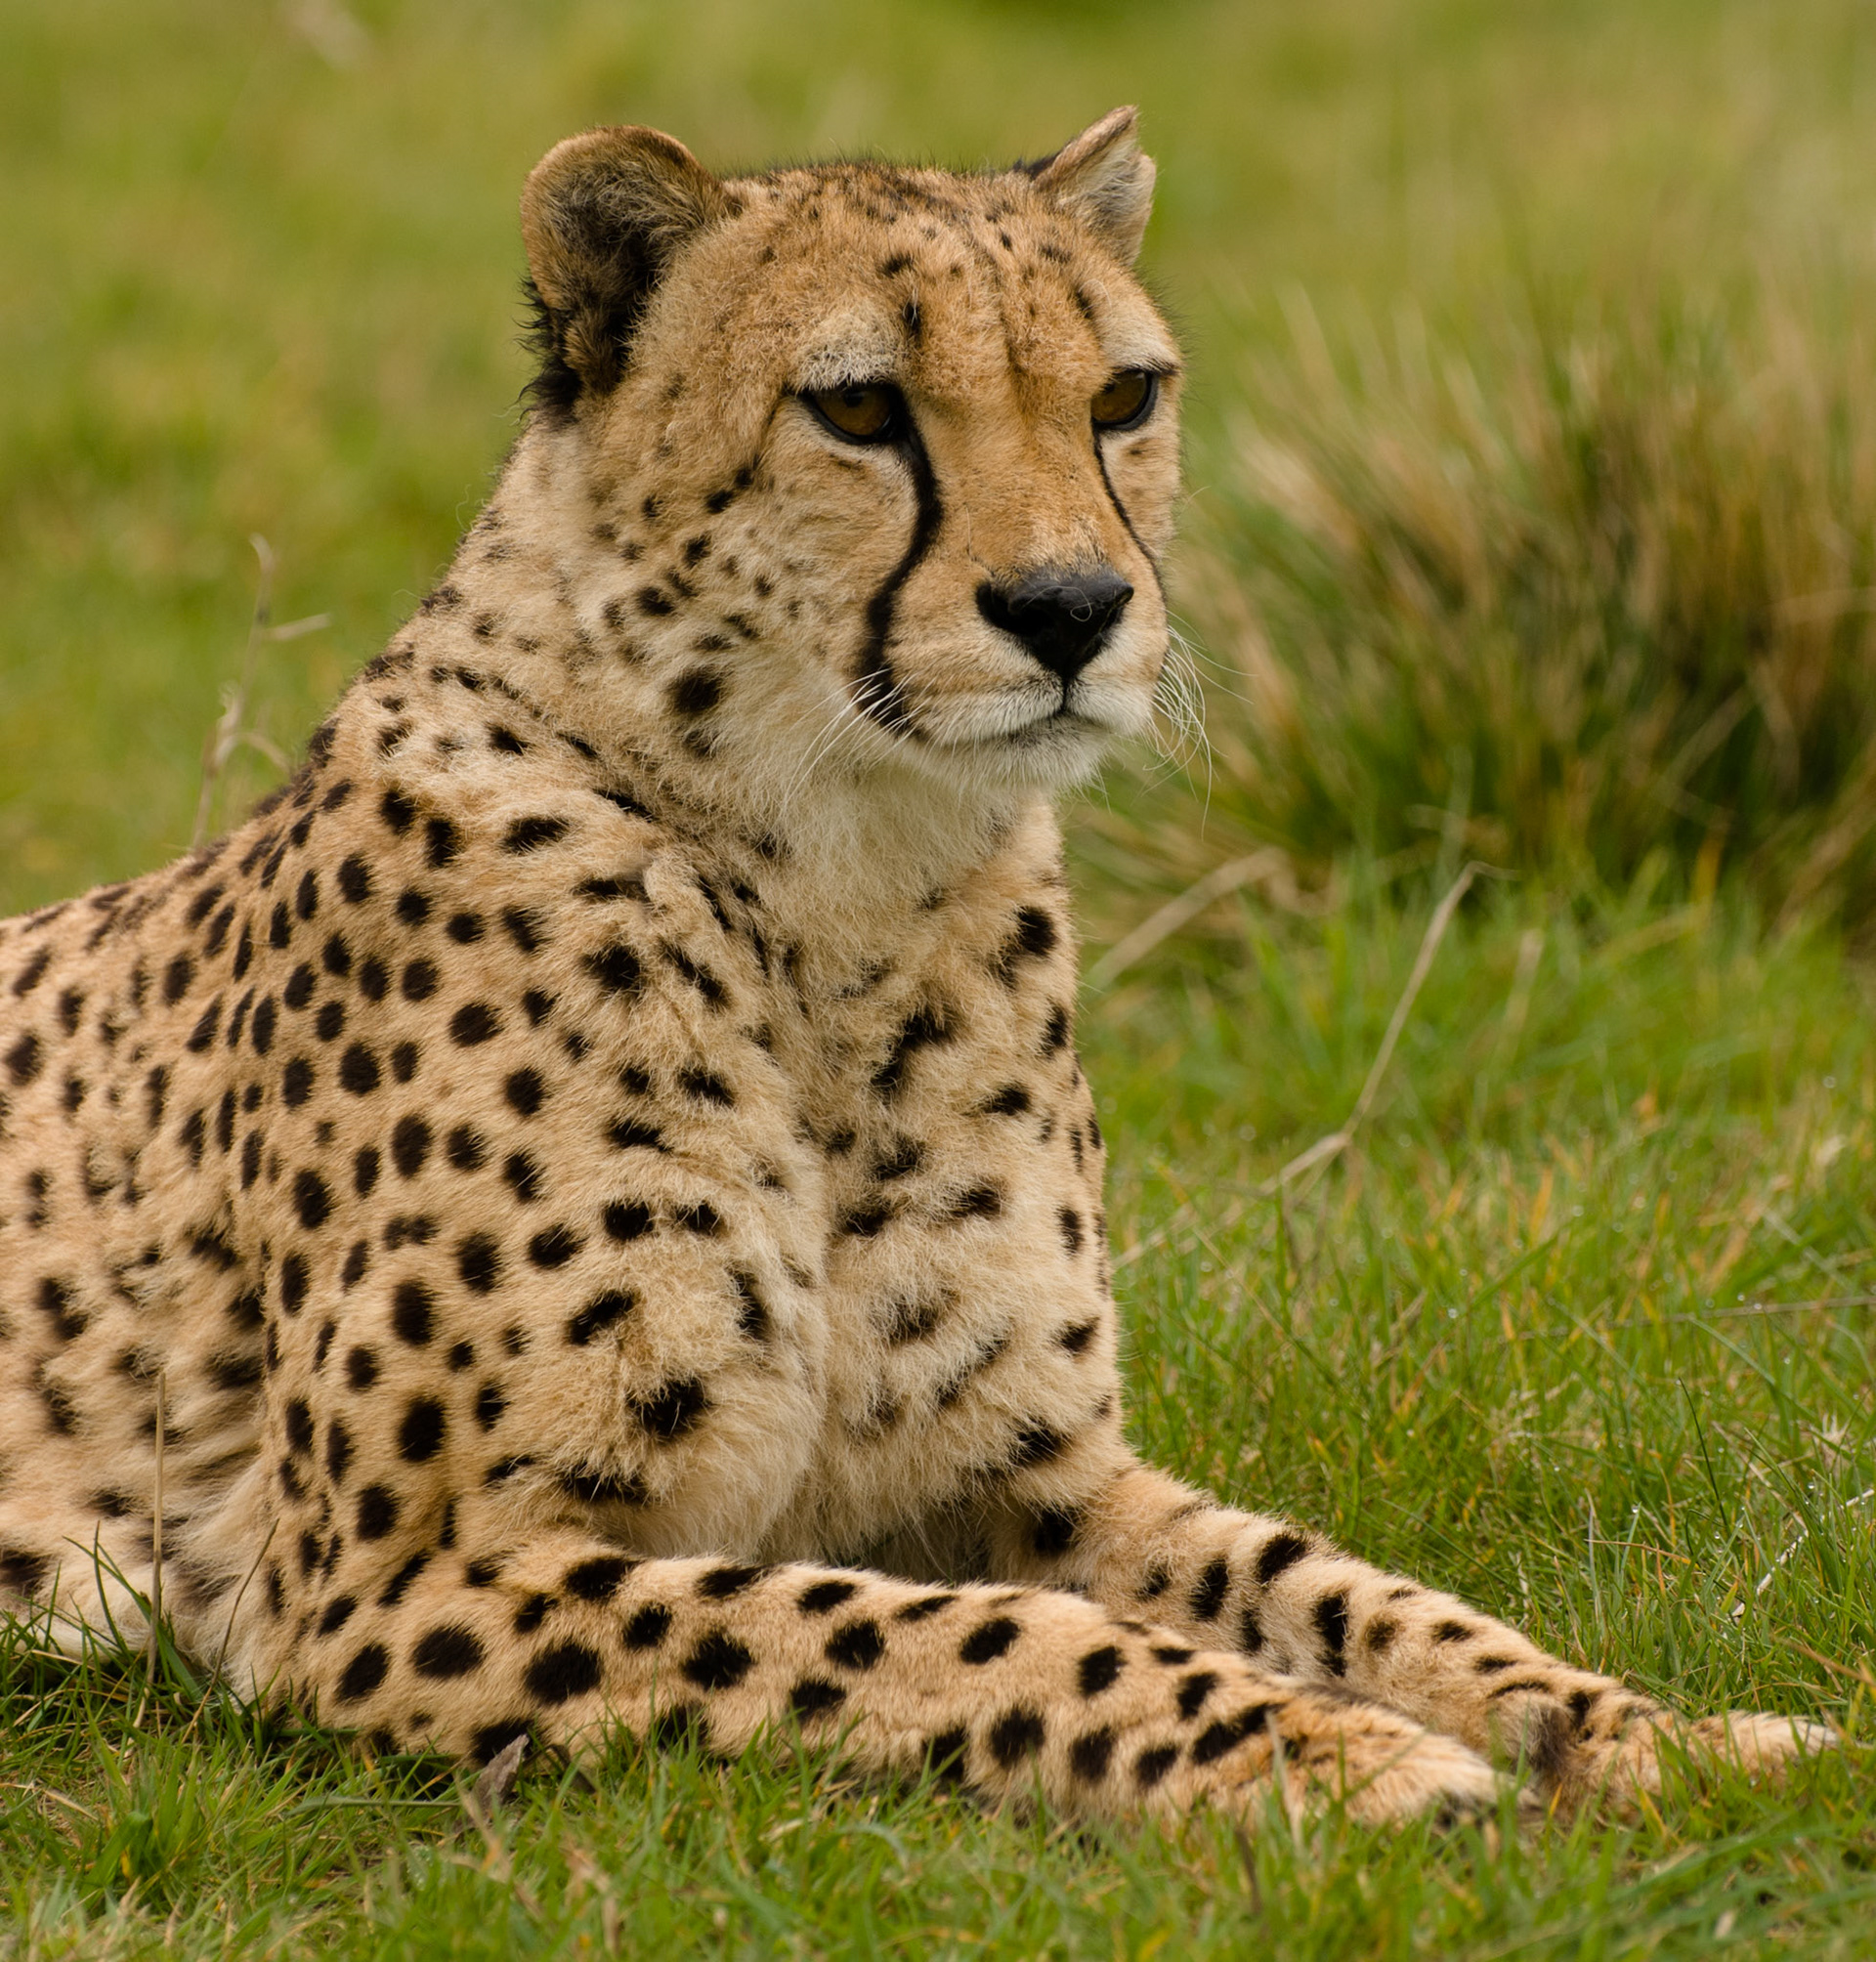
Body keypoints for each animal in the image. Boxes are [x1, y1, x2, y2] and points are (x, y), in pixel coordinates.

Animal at [0, 108, 1832, 1832]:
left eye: (1122, 396)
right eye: (862, 410)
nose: (1073, 607)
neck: (838, 883)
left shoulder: (1031, 1471)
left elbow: (1346, 1589)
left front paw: (1664, 1739)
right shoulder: (391, 1588)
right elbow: (943, 1636)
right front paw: (1334, 1757)